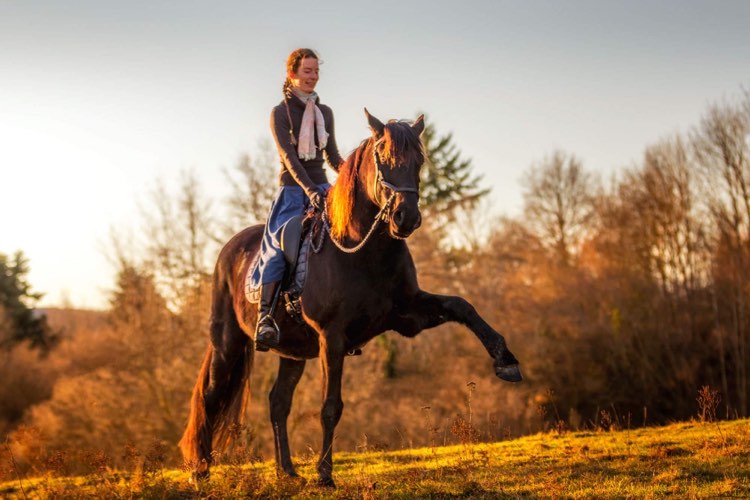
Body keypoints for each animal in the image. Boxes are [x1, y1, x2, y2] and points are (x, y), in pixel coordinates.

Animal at [179, 109, 522, 487]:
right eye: (384, 158)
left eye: (419, 160)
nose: (406, 217)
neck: (364, 251)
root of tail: (229, 249)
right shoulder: (332, 337)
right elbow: (331, 407)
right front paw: (325, 475)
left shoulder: (409, 315)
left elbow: (462, 305)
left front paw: (505, 359)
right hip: (227, 343)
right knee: (211, 396)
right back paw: (201, 471)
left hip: (293, 352)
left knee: (278, 402)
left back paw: (287, 472)